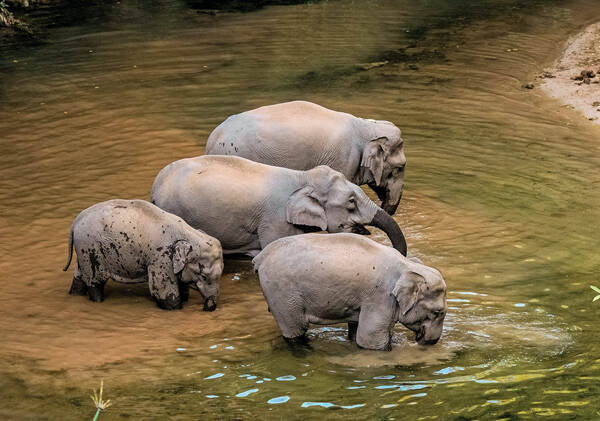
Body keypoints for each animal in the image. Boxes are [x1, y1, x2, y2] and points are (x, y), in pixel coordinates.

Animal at [62, 199, 224, 310]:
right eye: (203, 276)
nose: (208, 307)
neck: (188, 233)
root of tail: (75, 222)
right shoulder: (161, 258)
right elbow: (163, 292)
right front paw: (176, 306)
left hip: (83, 251)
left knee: (79, 278)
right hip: (90, 249)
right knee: (95, 282)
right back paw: (98, 300)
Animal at [252, 231, 446, 350]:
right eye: (437, 312)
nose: (431, 342)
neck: (407, 266)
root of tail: (260, 257)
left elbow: (356, 330)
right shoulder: (380, 297)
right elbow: (371, 339)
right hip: (282, 293)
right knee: (296, 330)